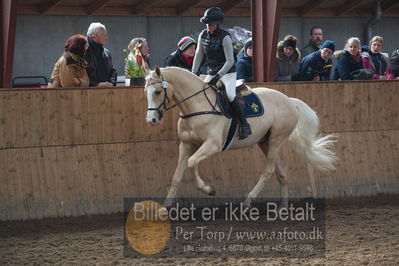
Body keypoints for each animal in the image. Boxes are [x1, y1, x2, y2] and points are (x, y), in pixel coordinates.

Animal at [145, 66, 338, 208]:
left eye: (157, 92)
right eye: (146, 92)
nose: (151, 120)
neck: (196, 105)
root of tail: (289, 100)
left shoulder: (213, 145)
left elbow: (192, 163)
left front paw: (209, 190)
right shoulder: (186, 144)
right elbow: (177, 175)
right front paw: (165, 207)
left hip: (277, 139)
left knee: (268, 171)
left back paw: (247, 202)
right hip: (266, 142)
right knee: (281, 172)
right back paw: (283, 208)